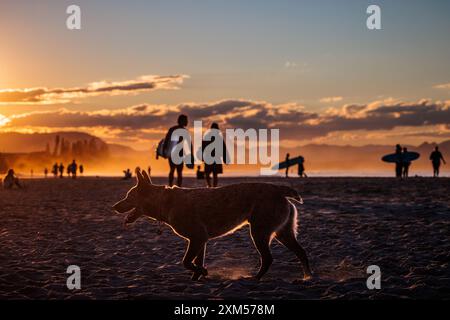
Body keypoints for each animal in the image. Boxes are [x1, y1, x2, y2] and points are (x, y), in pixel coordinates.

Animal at [112, 168, 312, 280]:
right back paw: (306, 278)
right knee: (301, 252)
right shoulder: (200, 241)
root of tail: (279, 190)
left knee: (268, 258)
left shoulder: (197, 238)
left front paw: (202, 272)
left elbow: (186, 261)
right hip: (282, 233)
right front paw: (198, 276)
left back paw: (255, 278)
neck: (164, 201)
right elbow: (196, 261)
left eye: (128, 197)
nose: (114, 206)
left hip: (259, 232)